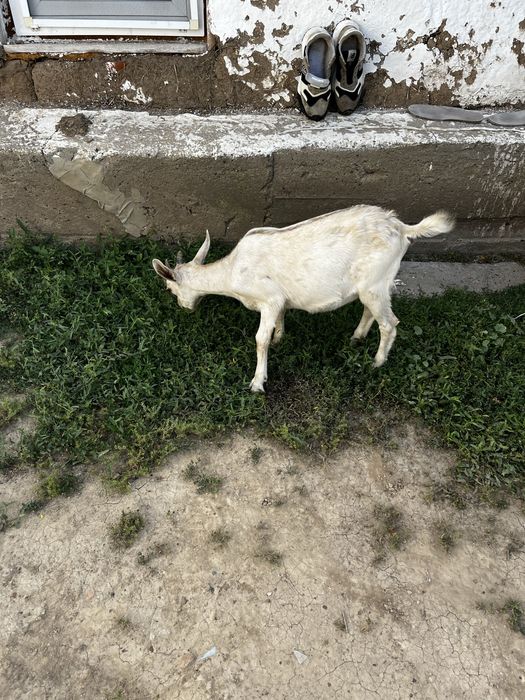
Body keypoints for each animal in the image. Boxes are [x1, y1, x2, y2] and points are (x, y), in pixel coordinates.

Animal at [153, 205, 454, 392]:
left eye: (170, 289)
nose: (185, 308)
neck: (232, 272)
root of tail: (402, 228)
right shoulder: (279, 300)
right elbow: (280, 320)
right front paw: (280, 338)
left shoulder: (268, 298)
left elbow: (259, 340)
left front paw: (257, 382)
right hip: (375, 283)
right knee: (371, 311)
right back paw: (356, 338)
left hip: (375, 282)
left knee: (390, 323)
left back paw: (377, 362)